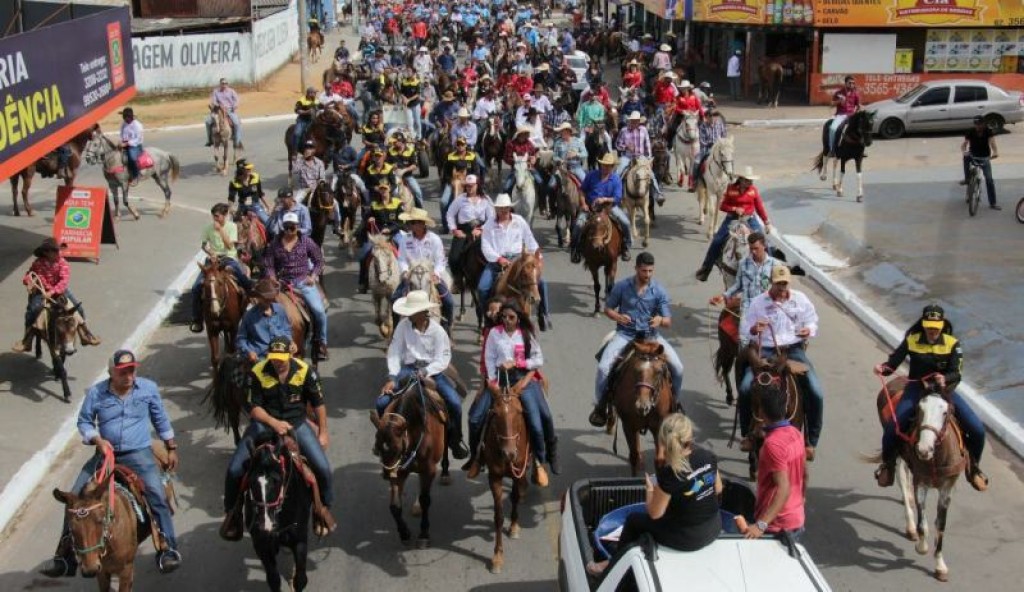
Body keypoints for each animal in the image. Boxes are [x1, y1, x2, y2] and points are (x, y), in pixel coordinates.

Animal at [246, 430, 311, 585]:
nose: (265, 525)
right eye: (250, 481)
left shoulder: (300, 540)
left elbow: (300, 579)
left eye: (277, 480)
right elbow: (273, 579)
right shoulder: (261, 545)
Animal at [370, 374, 446, 544]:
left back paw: (446, 474)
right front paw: (404, 532)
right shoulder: (398, 470)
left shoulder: (429, 470)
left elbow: (426, 500)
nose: (386, 475)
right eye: (378, 448)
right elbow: (394, 506)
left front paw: (424, 533)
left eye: (397, 449)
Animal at [479, 381, 528, 569]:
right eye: (495, 413)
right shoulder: (494, 477)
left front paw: (514, 526)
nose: (509, 454)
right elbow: (498, 516)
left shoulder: (518, 473)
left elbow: (514, 497)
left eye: (519, 412)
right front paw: (498, 556)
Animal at [606, 337, 671, 473]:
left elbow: (659, 459)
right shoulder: (628, 426)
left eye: (658, 372)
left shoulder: (658, 426)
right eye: (635, 370)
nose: (642, 406)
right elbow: (634, 457)